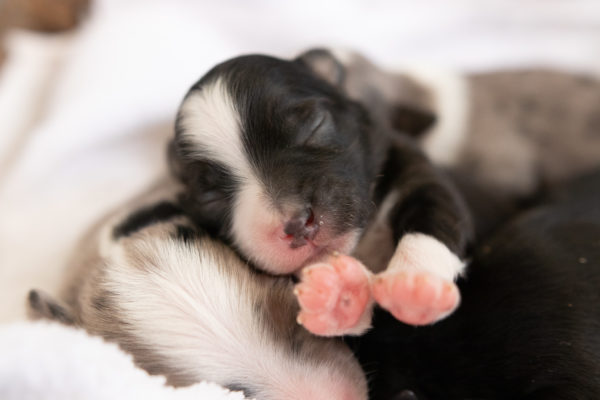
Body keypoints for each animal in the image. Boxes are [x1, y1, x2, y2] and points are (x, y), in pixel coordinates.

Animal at [169, 51, 474, 336]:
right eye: (211, 198)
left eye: (314, 126)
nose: (297, 225)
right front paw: (340, 296)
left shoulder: (415, 170)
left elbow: (434, 210)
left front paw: (414, 280)